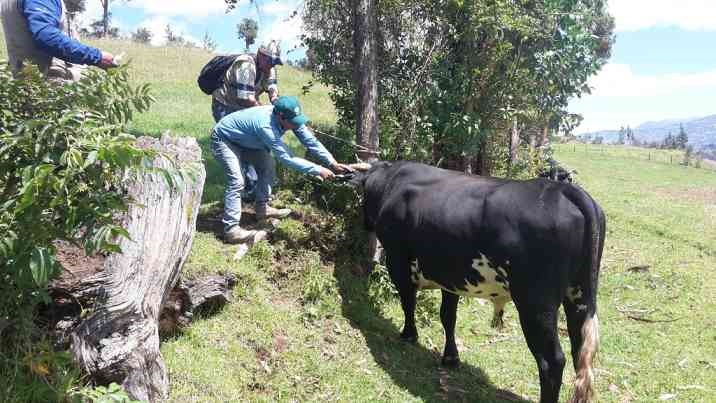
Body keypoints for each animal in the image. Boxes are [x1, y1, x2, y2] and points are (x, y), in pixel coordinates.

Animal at [352, 162, 604, 403]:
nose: (364, 224)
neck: (391, 183)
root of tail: (564, 189)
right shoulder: (451, 278)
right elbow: (448, 316)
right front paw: (451, 357)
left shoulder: (397, 262)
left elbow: (408, 303)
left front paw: (408, 335)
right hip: (579, 296)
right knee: (579, 351)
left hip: (536, 304)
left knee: (552, 361)